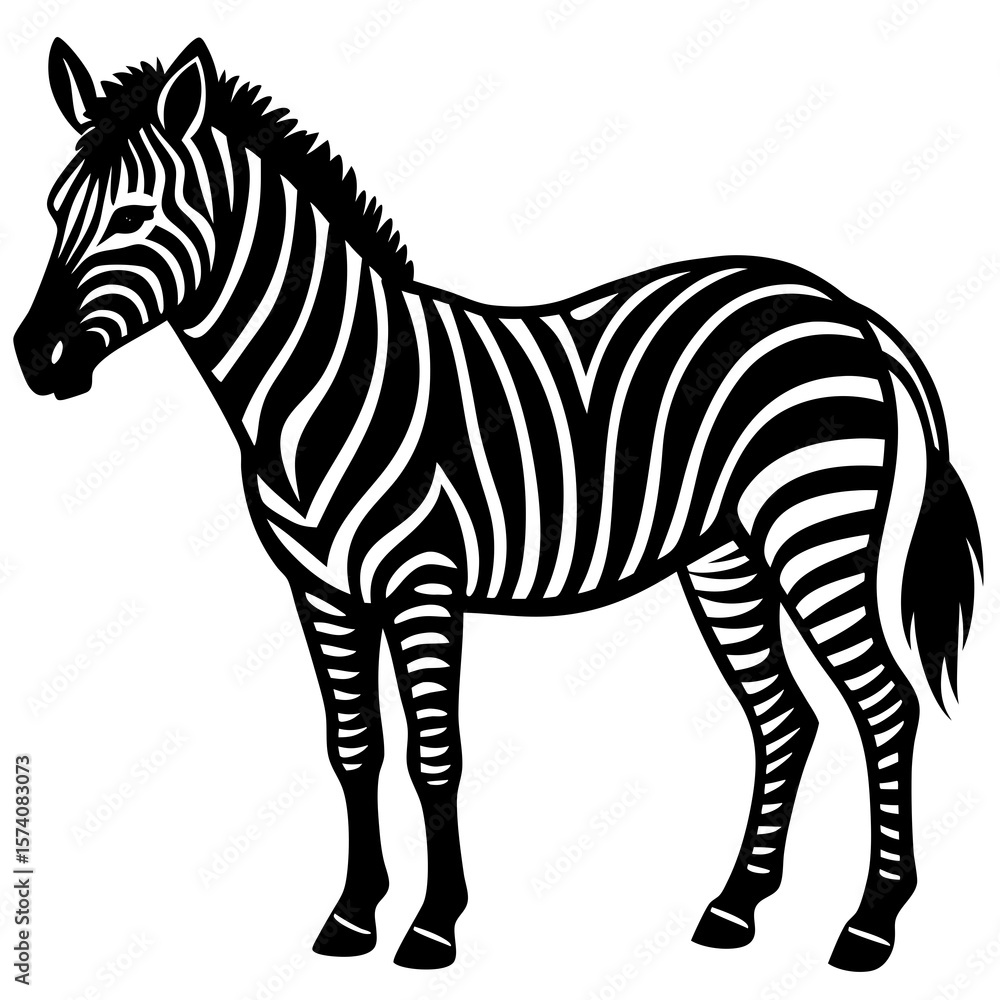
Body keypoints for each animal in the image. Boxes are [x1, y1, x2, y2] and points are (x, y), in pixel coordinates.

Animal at [14, 38, 982, 973]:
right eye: (56, 209)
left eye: (135, 217)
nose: (34, 356)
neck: (321, 386)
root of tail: (837, 304)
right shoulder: (322, 592)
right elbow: (353, 747)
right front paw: (353, 915)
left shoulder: (423, 583)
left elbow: (433, 754)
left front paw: (433, 927)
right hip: (725, 555)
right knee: (785, 717)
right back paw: (735, 907)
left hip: (814, 528)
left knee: (884, 705)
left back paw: (871, 926)